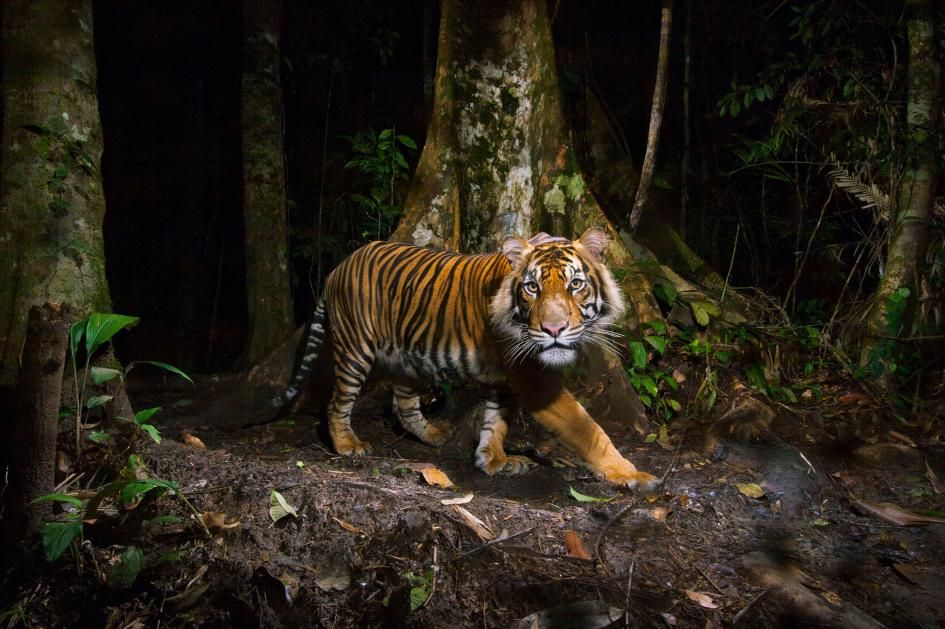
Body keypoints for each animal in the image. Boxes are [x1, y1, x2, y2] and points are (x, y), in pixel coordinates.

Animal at [272, 227, 656, 490]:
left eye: (575, 284)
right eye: (532, 288)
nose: (553, 329)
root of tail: (337, 268)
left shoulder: (508, 380)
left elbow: (496, 422)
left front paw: (494, 460)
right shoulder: (534, 380)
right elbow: (589, 429)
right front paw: (631, 473)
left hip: (408, 358)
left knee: (403, 403)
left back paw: (434, 435)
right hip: (356, 349)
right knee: (337, 402)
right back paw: (348, 445)